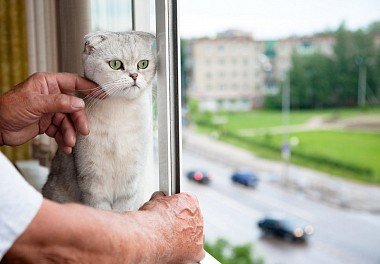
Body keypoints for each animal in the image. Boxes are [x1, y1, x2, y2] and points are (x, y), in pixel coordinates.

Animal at [43, 31, 157, 212]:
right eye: (116, 64)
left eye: (143, 64)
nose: (134, 75)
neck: (120, 112)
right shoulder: (92, 178)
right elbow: (102, 210)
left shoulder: (131, 177)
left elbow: (124, 210)